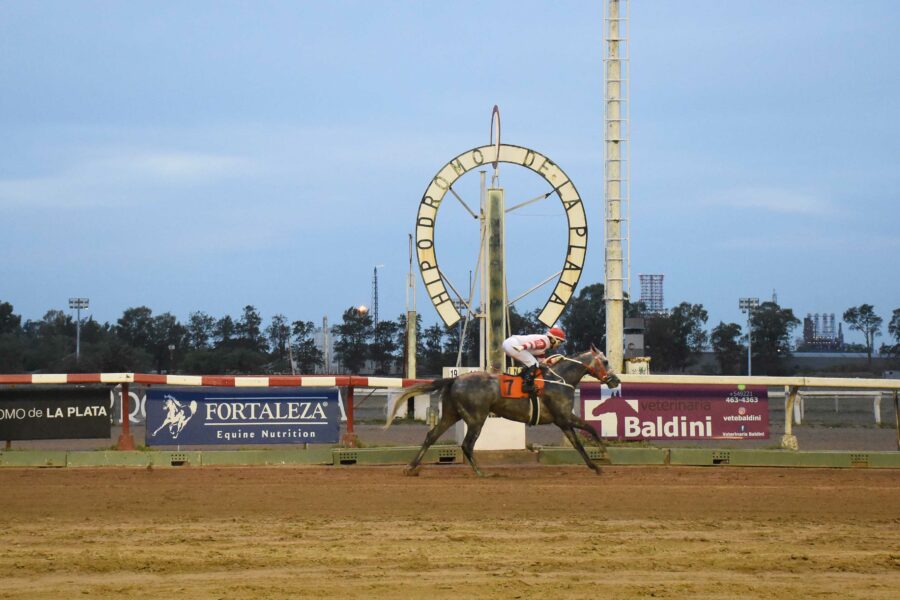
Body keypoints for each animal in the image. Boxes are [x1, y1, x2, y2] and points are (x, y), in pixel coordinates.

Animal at [386, 344, 620, 476]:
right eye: (606, 361)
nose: (615, 380)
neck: (559, 379)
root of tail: (455, 379)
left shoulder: (563, 421)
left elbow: (580, 441)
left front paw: (597, 466)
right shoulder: (563, 417)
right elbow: (589, 431)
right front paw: (605, 456)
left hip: (452, 414)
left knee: (431, 436)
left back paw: (411, 467)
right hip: (476, 418)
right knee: (466, 445)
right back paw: (480, 472)